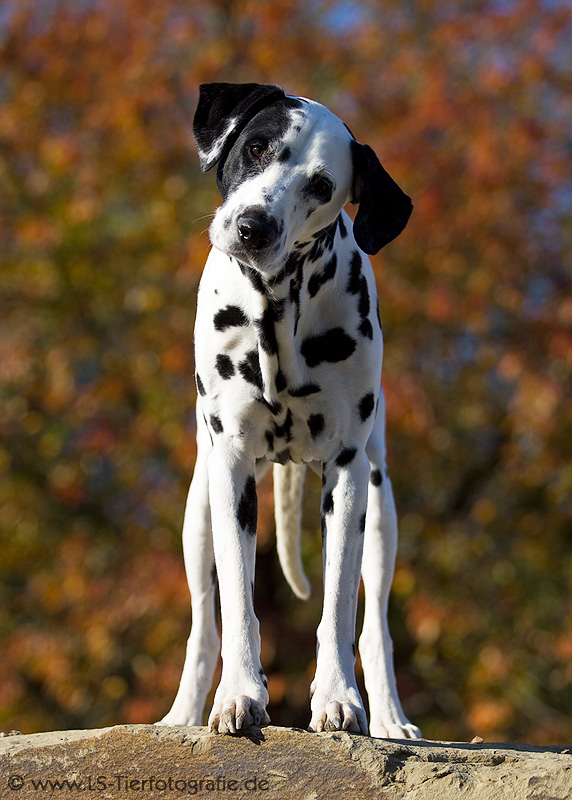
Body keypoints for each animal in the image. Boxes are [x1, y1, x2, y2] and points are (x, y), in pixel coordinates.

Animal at [159, 83, 422, 736]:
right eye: (256, 148)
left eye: (321, 186)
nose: (253, 226)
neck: (277, 309)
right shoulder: (229, 471)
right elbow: (237, 603)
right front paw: (239, 694)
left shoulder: (347, 476)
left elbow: (338, 608)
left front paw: (338, 698)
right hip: (198, 512)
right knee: (203, 625)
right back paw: (180, 716)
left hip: (381, 510)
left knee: (374, 626)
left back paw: (390, 717)